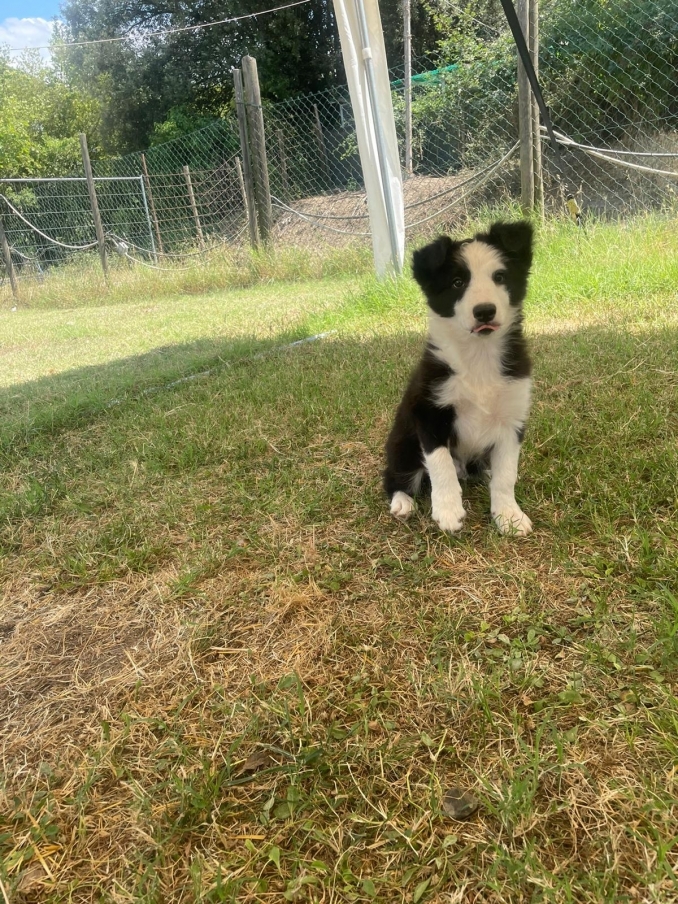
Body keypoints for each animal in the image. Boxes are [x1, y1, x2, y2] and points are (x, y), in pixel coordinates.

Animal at [382, 222, 536, 536]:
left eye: (499, 277)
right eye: (456, 283)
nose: (484, 311)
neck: (478, 355)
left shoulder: (512, 419)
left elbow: (506, 475)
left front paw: (509, 515)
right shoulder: (429, 413)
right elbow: (441, 466)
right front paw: (448, 511)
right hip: (403, 442)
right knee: (394, 477)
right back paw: (402, 502)